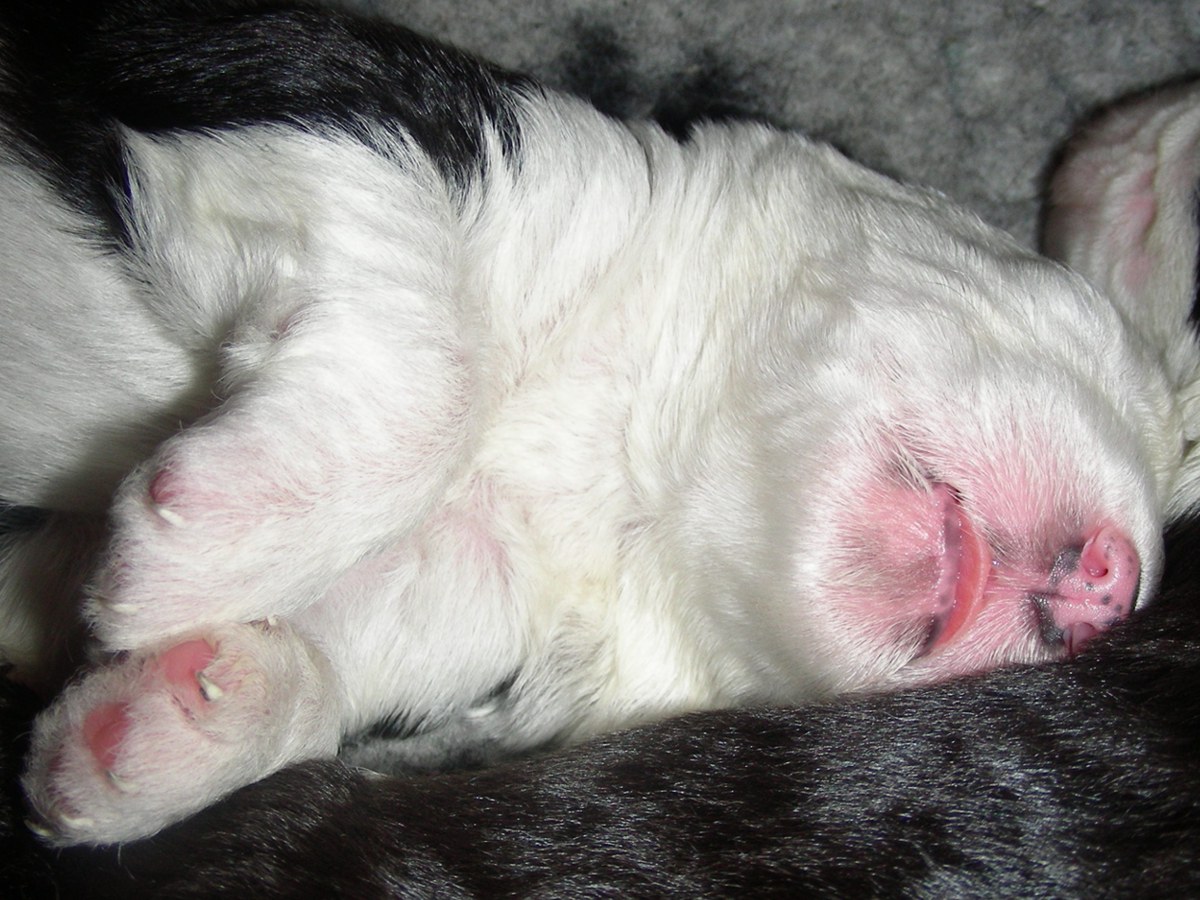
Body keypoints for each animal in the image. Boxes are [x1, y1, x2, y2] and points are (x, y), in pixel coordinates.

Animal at [3, 1, 1198, 846]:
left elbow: (359, 637)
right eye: (1087, 335)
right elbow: (439, 358)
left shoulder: (481, 582)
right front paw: (198, 548)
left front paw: (166, 724)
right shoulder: (333, 110)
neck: (612, 440)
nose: (1111, 589)